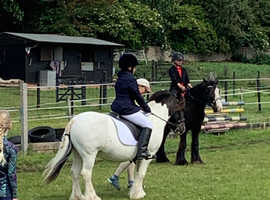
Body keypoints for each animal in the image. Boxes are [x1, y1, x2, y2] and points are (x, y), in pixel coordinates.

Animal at [43, 90, 186, 200]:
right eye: (181, 109)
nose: (182, 129)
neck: (155, 120)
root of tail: (75, 120)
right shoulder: (148, 155)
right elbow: (141, 174)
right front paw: (137, 195)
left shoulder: (138, 157)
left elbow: (137, 173)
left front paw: (136, 191)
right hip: (89, 154)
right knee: (86, 173)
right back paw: (92, 196)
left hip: (78, 154)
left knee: (75, 172)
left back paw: (78, 197)